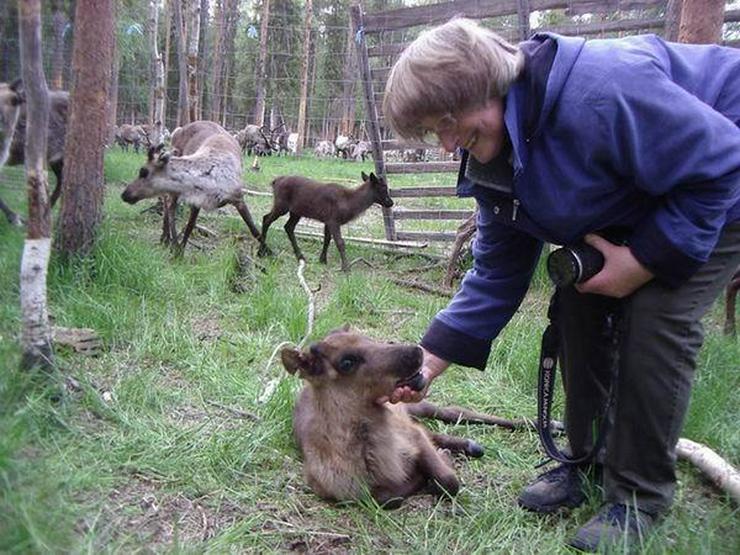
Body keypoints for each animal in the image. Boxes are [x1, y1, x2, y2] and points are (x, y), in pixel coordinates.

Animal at [280, 328, 512, 510]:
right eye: (346, 362)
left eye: (366, 337)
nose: (416, 351)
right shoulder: (343, 493)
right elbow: (390, 497)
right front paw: (428, 477)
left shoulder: (413, 437)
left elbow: (449, 481)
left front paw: (440, 468)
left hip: (414, 406)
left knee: (453, 411)